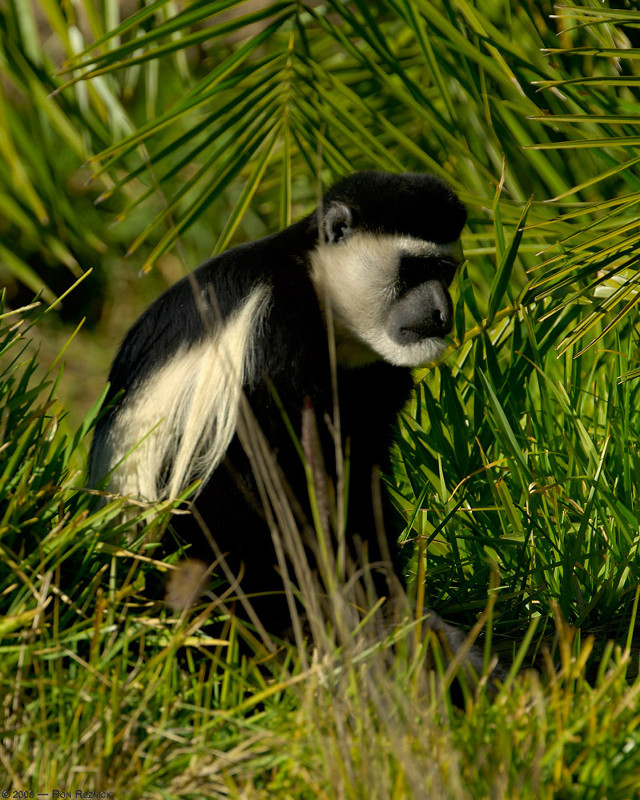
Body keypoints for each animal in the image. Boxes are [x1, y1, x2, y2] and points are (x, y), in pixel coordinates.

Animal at [90, 170, 470, 643]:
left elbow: (356, 469)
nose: (442, 313)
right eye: (416, 269)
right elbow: (281, 469)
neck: (318, 289)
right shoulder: (273, 331)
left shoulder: (375, 377)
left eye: (445, 272)